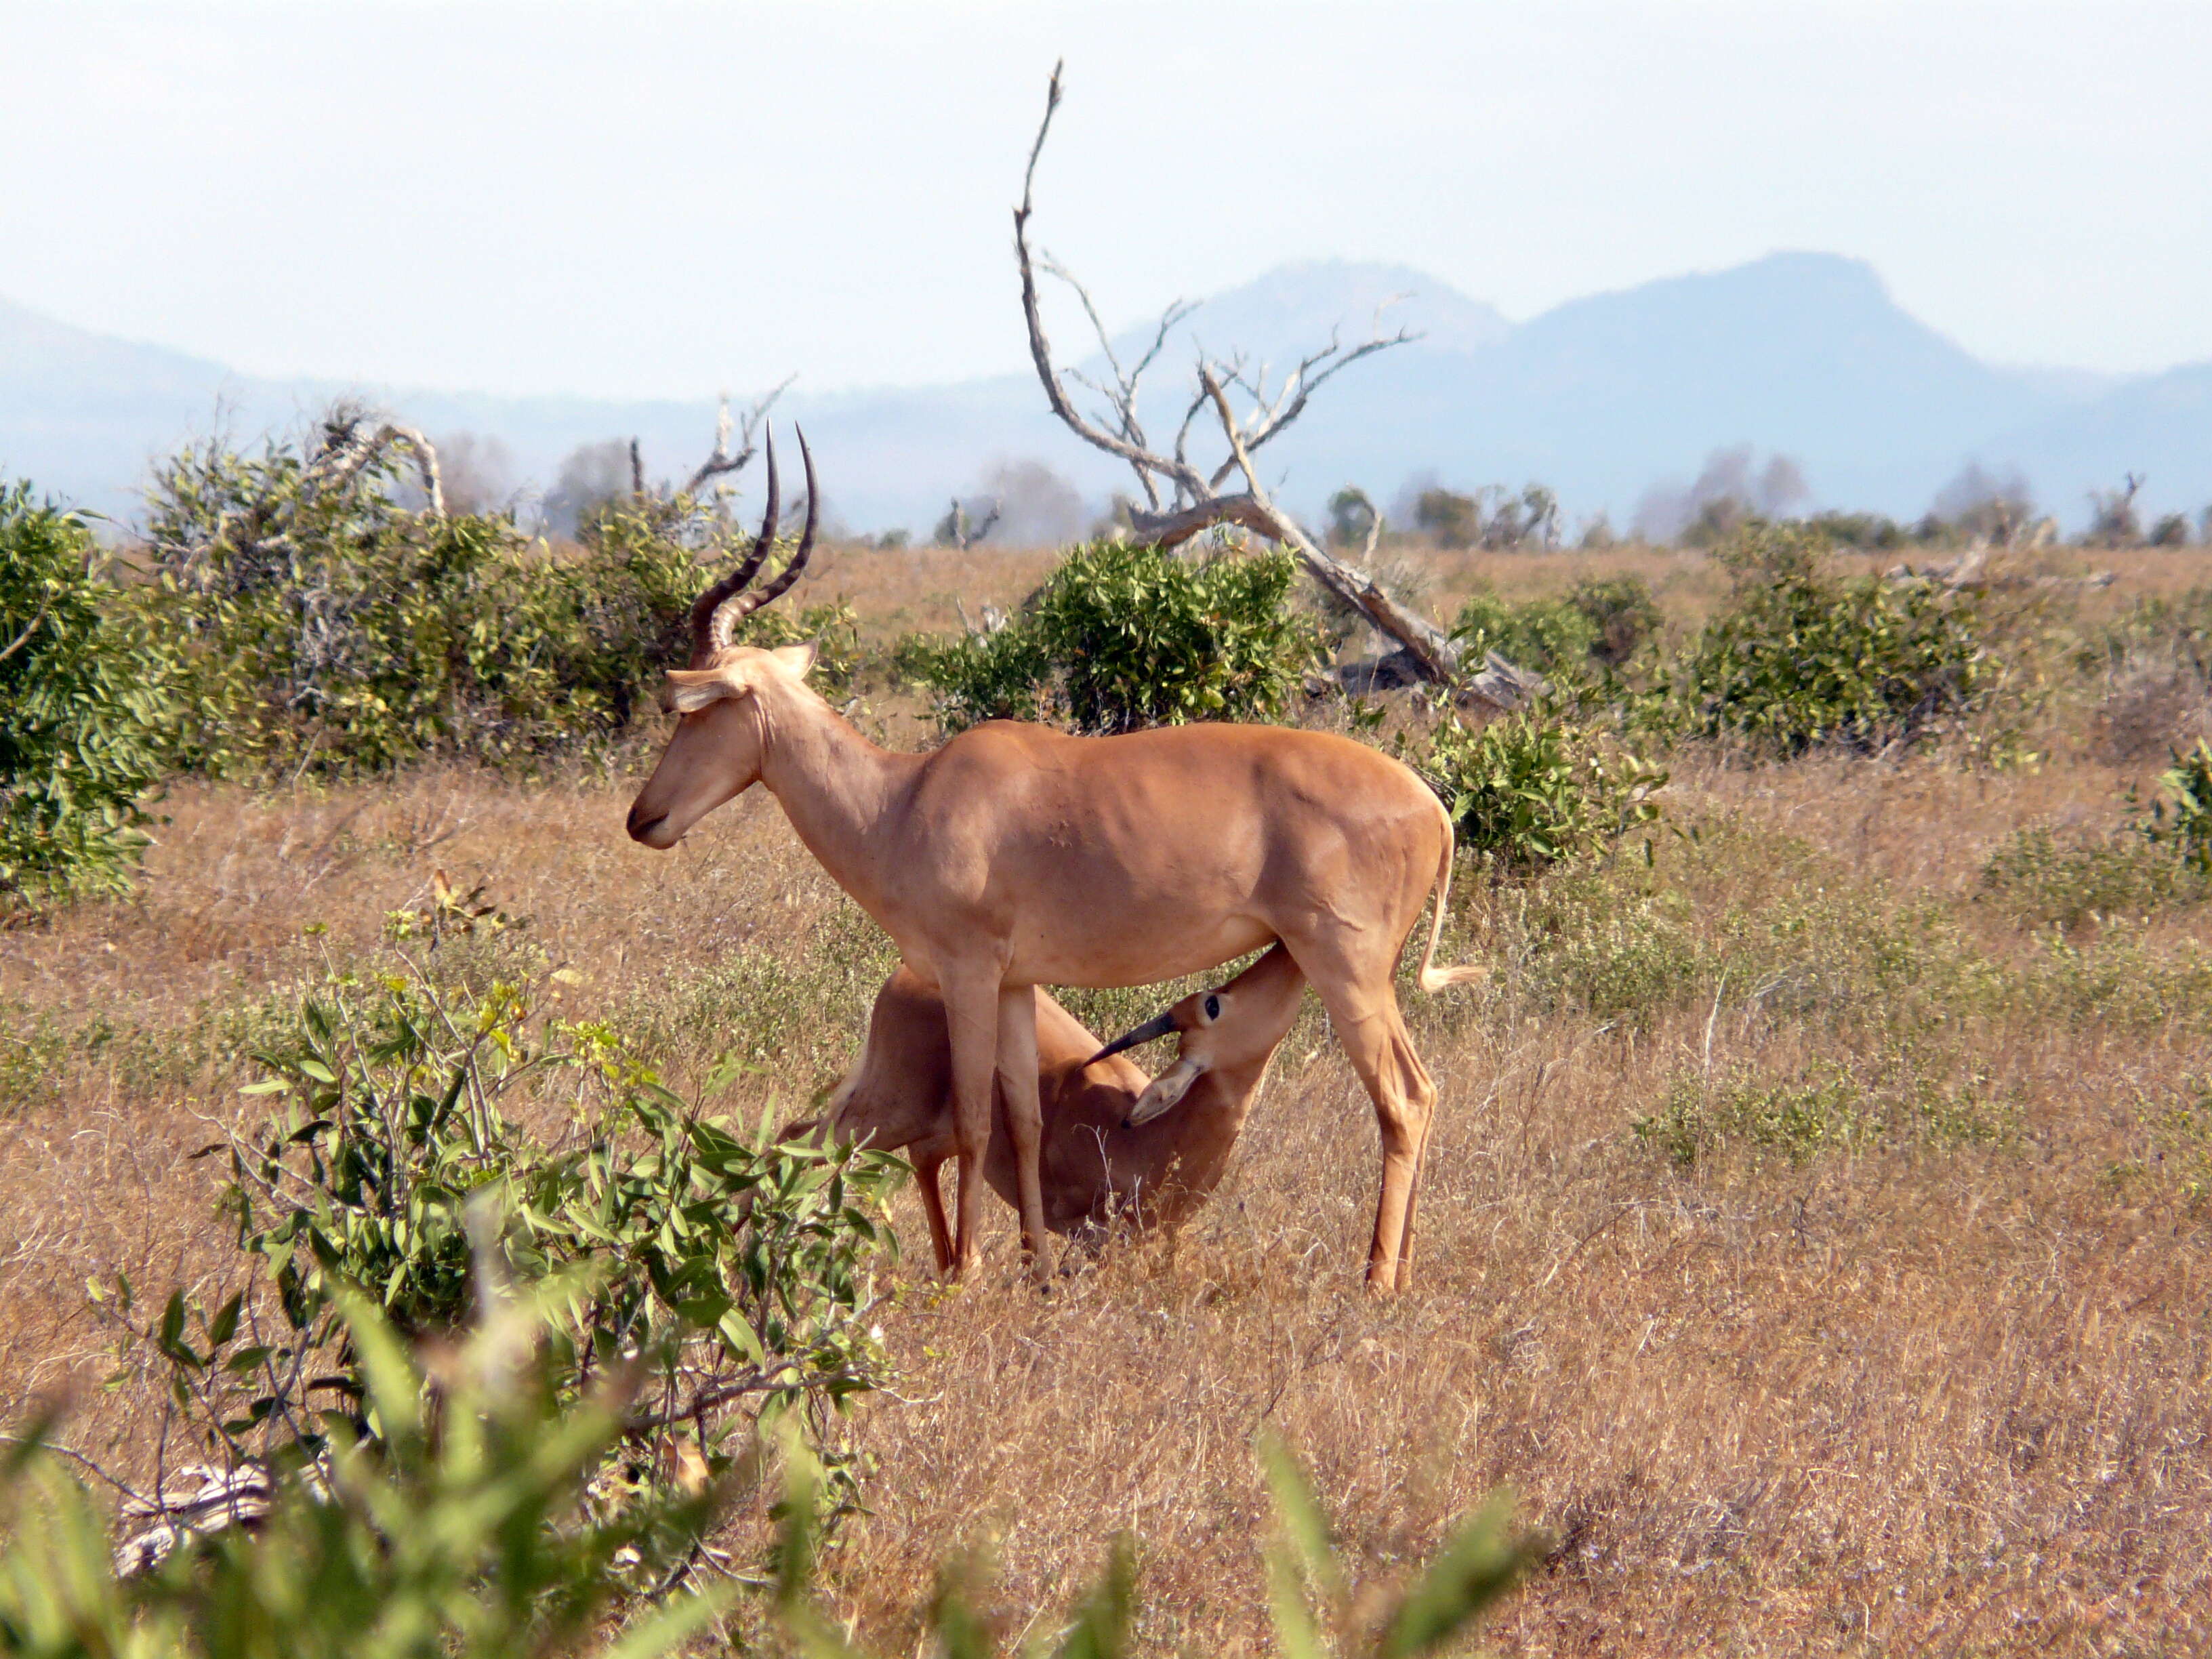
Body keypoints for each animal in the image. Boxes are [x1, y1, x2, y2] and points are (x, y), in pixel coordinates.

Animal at [800, 942, 1300, 1265]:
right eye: (1213, 1004)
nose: (1285, 950)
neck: (1149, 1142)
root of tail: (909, 972)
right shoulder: (1086, 1236)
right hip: (885, 1113)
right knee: (801, 1142)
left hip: (930, 1129)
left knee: (917, 1158)